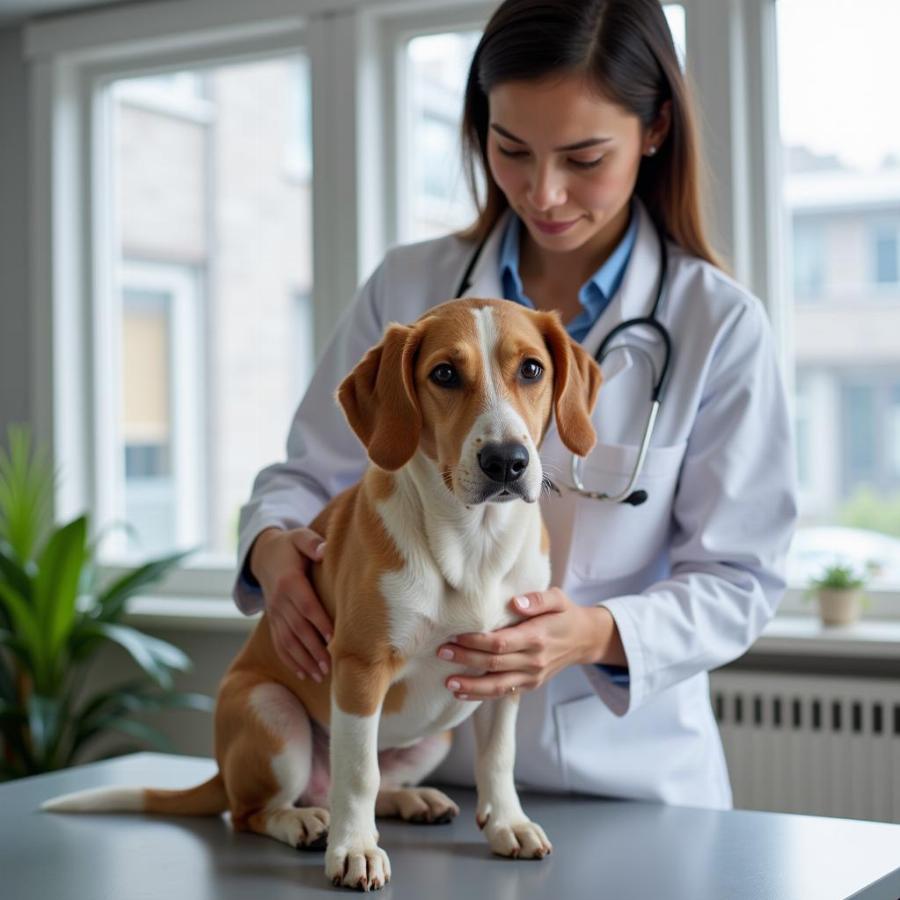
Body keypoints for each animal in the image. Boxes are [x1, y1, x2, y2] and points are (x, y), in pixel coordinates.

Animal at [44, 298, 604, 888]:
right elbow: (357, 773)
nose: (506, 461)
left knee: (373, 783)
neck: (473, 544)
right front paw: (354, 849)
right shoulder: (359, 667)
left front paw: (507, 823)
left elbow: (497, 758)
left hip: (436, 737)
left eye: (532, 369)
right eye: (445, 374)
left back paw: (411, 800)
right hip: (272, 713)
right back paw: (306, 822)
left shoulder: (503, 670)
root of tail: (221, 771)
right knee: (255, 810)